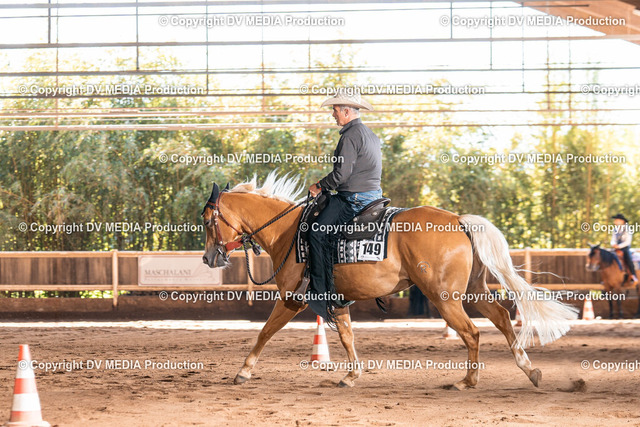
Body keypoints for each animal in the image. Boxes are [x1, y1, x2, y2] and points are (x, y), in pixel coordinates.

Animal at [201, 173, 578, 390]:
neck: (291, 232)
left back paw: (467, 381)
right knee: (501, 317)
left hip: (445, 297)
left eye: (207, 219)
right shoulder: (338, 300)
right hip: (473, 291)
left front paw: (243, 371)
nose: (209, 258)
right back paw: (529, 370)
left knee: (472, 332)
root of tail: (458, 219)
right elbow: (347, 336)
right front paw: (351, 375)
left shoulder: (292, 299)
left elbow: (265, 332)